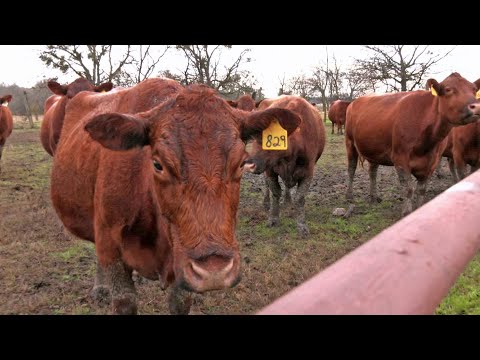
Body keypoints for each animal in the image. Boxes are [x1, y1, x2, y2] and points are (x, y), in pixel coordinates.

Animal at [246, 95, 324, 236]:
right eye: (254, 139)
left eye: (271, 138)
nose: (250, 165)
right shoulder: (270, 170)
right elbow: (275, 192)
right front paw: (273, 218)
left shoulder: (308, 171)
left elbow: (300, 198)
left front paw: (301, 225)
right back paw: (266, 203)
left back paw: (288, 200)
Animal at [344, 71, 480, 215]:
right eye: (448, 89)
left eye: (474, 90)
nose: (476, 106)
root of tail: (355, 101)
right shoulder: (400, 158)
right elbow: (408, 188)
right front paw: (406, 212)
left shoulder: (432, 162)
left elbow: (422, 189)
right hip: (350, 142)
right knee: (351, 168)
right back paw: (349, 196)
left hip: (373, 148)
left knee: (373, 171)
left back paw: (374, 196)